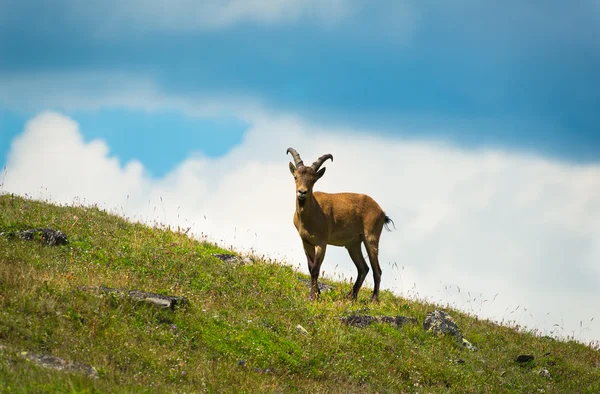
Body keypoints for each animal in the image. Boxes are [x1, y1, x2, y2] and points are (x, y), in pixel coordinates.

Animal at [288, 148, 394, 302]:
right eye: (295, 177)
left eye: (313, 180)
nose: (302, 192)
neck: (313, 213)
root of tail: (381, 211)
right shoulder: (306, 241)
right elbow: (310, 267)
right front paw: (317, 293)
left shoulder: (322, 242)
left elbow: (315, 269)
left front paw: (313, 296)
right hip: (353, 244)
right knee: (363, 268)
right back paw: (351, 296)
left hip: (371, 238)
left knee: (377, 270)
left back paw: (374, 300)